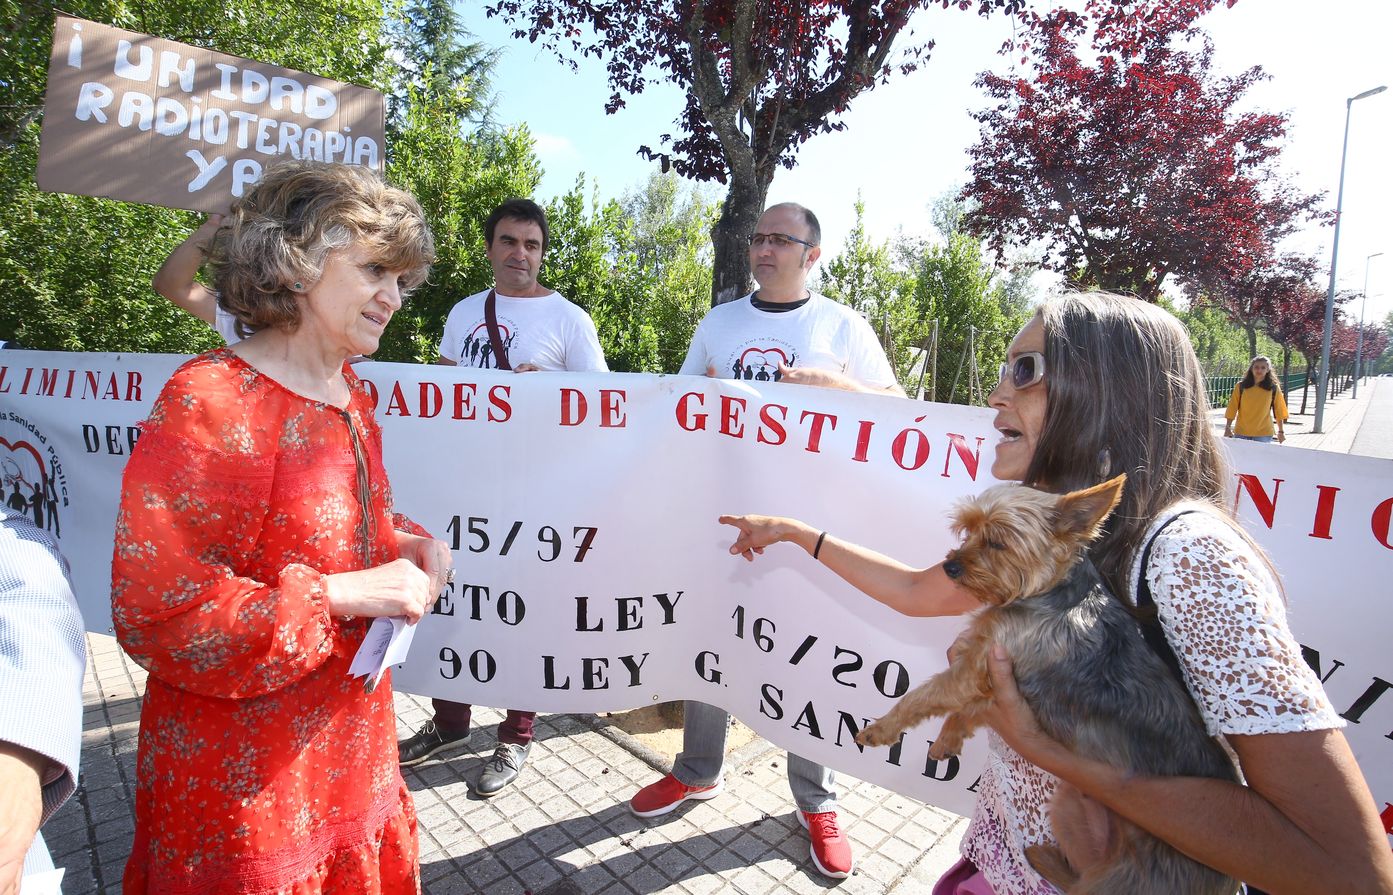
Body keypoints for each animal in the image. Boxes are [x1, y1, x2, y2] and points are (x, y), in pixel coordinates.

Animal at [858, 473, 1242, 892]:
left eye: (998, 541)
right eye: (969, 530)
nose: (950, 567)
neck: (1047, 594)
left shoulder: (976, 668)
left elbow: (922, 696)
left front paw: (881, 728)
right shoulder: (995, 673)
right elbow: (969, 711)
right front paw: (948, 739)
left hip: (1133, 877)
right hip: (1072, 806)